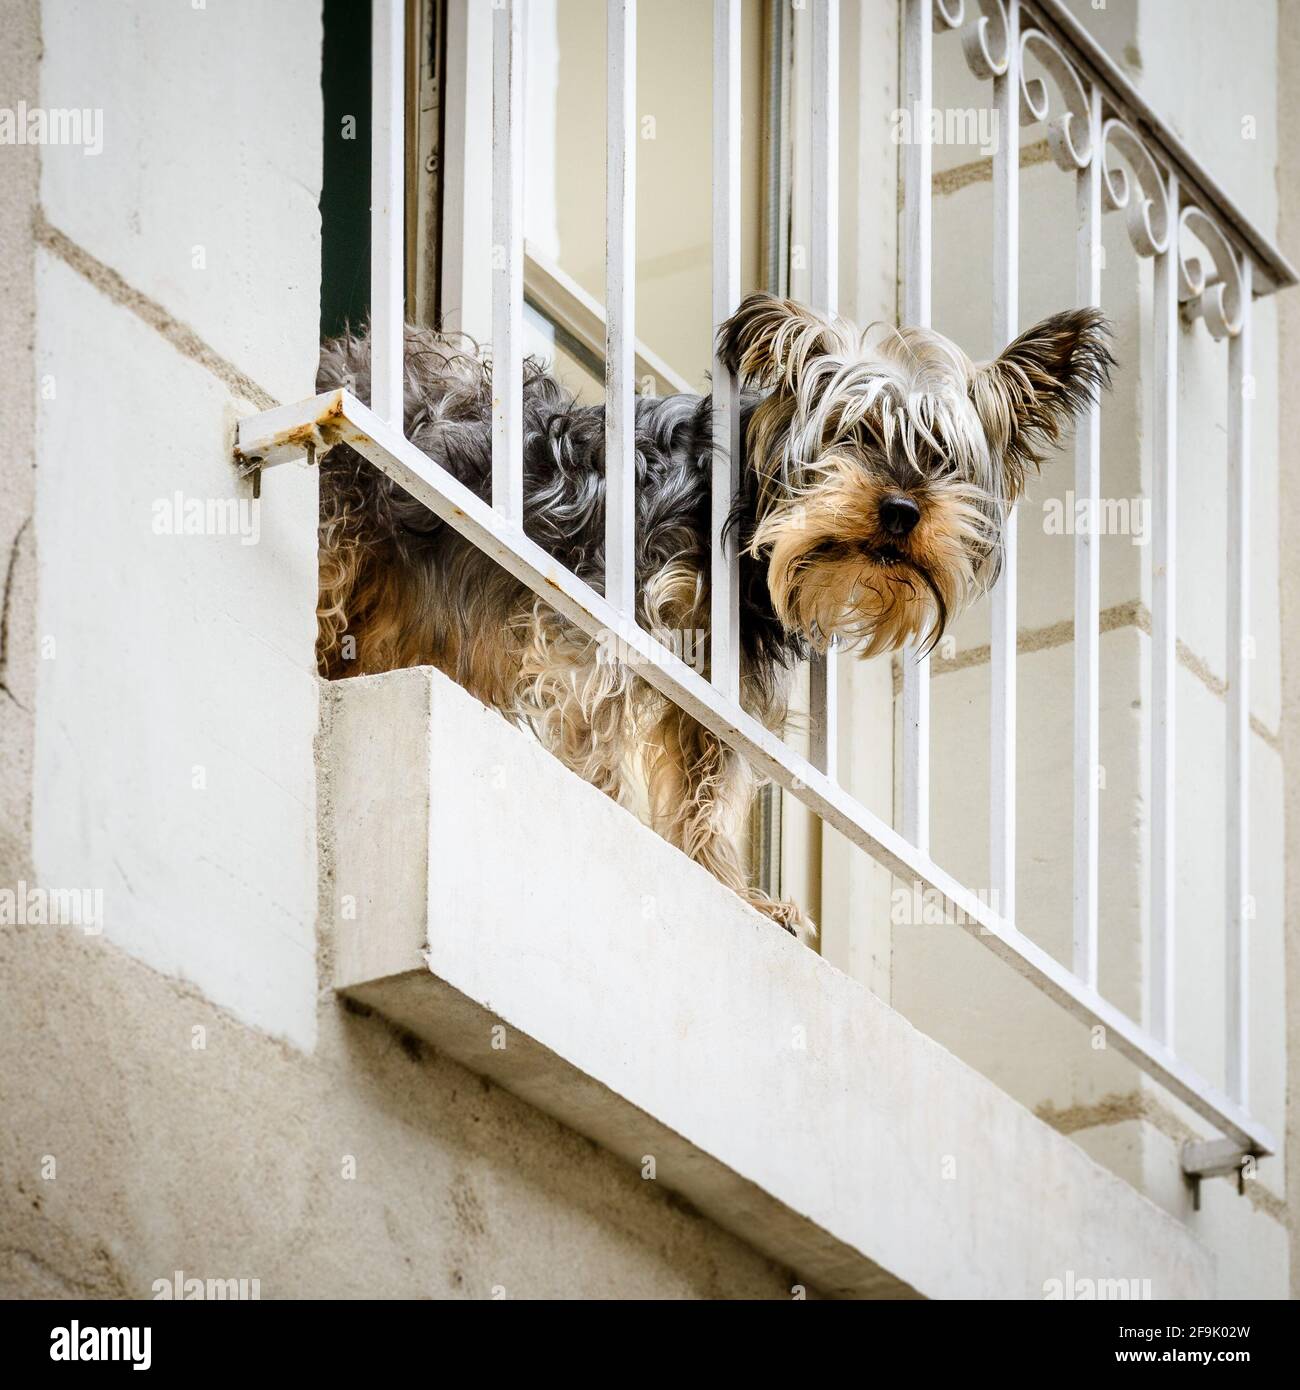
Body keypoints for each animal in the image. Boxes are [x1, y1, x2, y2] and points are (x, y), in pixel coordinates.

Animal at [312, 297, 1106, 939]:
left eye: (941, 457)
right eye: (850, 434)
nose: (902, 509)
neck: (745, 525)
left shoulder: (726, 687)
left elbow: (713, 790)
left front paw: (732, 889)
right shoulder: (608, 623)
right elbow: (603, 728)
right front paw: (611, 809)